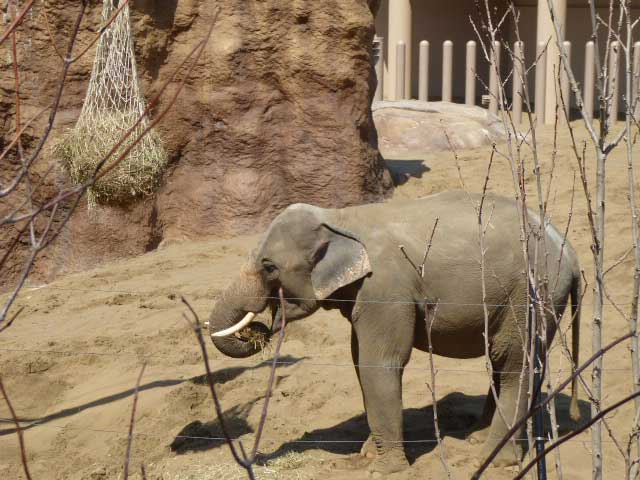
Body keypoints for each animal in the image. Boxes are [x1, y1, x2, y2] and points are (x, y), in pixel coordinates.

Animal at [209, 190, 580, 476]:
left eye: (269, 267)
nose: (257, 329)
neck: (342, 218)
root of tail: (570, 252)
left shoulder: (385, 288)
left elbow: (380, 362)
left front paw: (384, 470)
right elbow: (359, 360)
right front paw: (369, 453)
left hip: (531, 294)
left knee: (515, 361)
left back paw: (492, 458)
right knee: (506, 359)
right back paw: (479, 437)